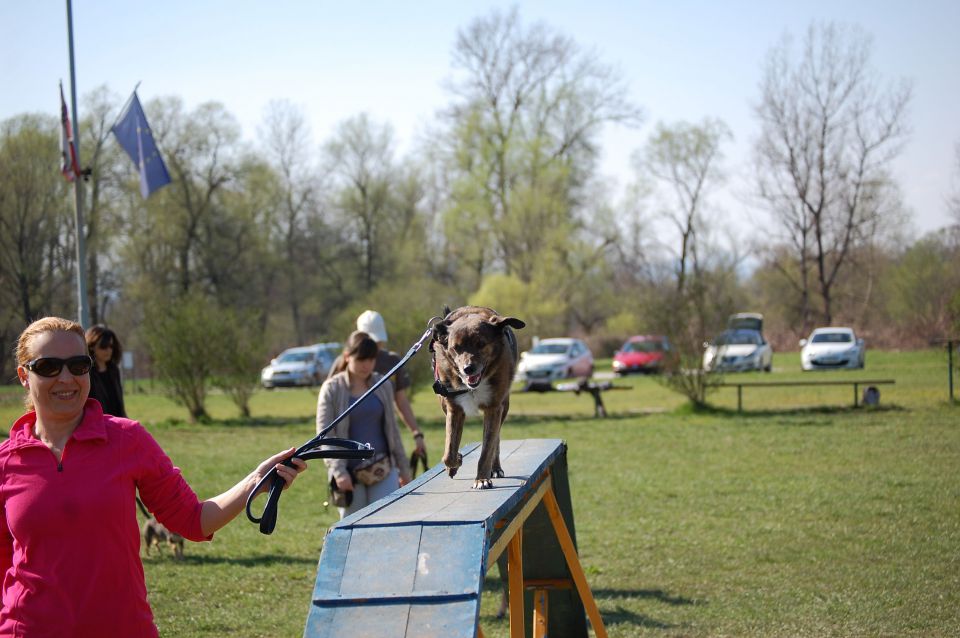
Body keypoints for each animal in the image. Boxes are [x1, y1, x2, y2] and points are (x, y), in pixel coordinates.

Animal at [432, 304, 528, 490]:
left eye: (481, 344)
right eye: (456, 347)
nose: (468, 369)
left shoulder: (494, 407)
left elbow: (487, 449)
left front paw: (482, 479)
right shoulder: (454, 409)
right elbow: (449, 450)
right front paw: (454, 462)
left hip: (504, 406)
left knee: (496, 440)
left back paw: (495, 468)